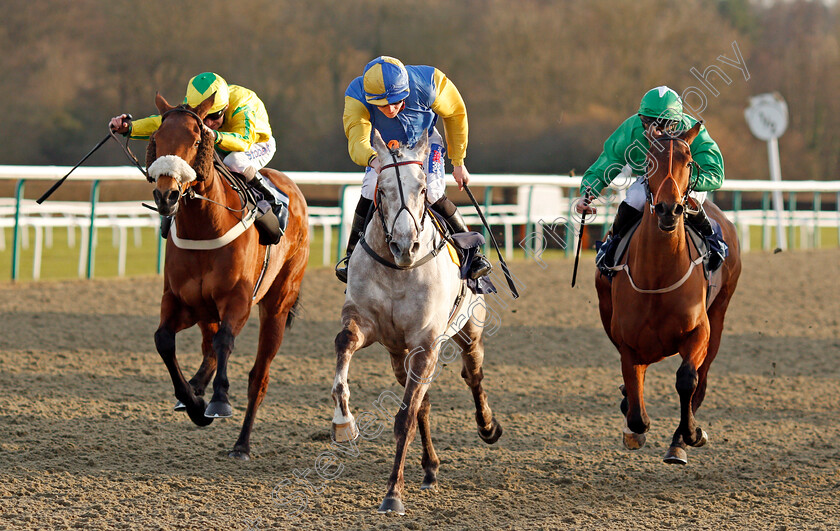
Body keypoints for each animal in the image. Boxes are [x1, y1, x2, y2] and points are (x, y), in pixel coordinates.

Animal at [147, 93, 308, 460]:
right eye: (156, 139)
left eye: (196, 140)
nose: (167, 195)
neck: (205, 224)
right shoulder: (180, 300)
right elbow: (164, 340)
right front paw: (194, 402)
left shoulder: (238, 300)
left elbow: (225, 342)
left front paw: (218, 401)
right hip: (206, 310)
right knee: (208, 347)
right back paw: (194, 391)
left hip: (277, 305)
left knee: (258, 376)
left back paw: (241, 444)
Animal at [330, 130, 502, 516]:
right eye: (381, 192)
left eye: (422, 190)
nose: (405, 245)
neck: (399, 270)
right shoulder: (365, 323)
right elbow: (344, 344)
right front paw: (343, 420)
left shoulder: (426, 342)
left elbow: (404, 418)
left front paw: (393, 493)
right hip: (398, 353)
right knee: (424, 402)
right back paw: (430, 467)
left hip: (469, 330)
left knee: (473, 374)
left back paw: (488, 427)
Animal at [596, 121, 740, 466]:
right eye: (649, 161)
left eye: (688, 162)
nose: (668, 210)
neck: (658, 277)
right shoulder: (627, 340)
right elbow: (636, 408)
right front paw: (634, 425)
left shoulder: (699, 330)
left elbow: (687, 378)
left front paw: (689, 435)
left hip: (720, 312)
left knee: (701, 379)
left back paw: (681, 440)